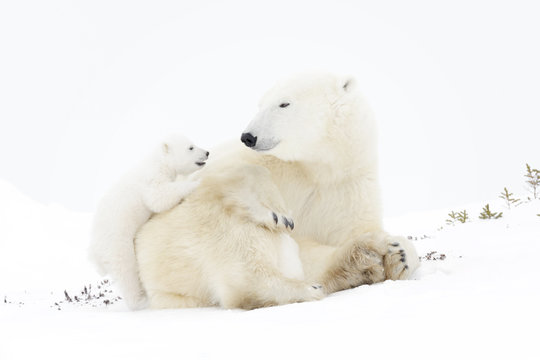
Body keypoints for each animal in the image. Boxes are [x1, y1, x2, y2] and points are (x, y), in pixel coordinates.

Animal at [88, 134, 209, 310]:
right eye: (191, 147)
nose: (207, 152)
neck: (159, 161)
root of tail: (94, 253)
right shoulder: (152, 179)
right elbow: (158, 197)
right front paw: (194, 183)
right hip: (116, 244)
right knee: (127, 272)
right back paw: (140, 301)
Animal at [133, 73, 420, 310]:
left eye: (284, 104)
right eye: (260, 104)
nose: (248, 136)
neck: (314, 170)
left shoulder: (347, 187)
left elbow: (348, 231)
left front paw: (398, 254)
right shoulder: (264, 165)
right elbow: (229, 178)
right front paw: (274, 211)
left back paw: (363, 259)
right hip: (173, 246)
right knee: (237, 241)